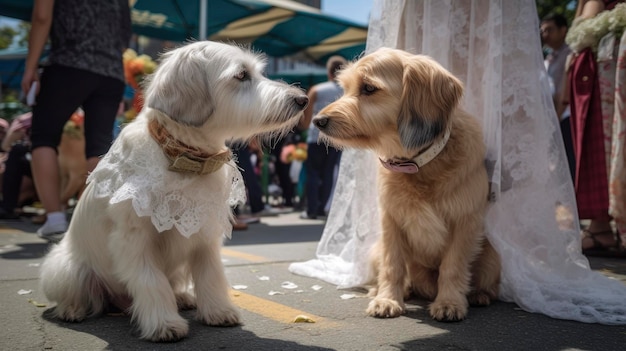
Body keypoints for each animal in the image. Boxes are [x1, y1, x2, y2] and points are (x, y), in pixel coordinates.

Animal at [39, 40, 308, 340]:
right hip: (64, 269)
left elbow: (211, 275)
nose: (302, 99)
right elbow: (151, 281)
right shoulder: (134, 240)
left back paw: (182, 297)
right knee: (78, 294)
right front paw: (164, 324)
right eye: (241, 75)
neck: (184, 159)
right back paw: (71, 310)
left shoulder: (205, 235)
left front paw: (218, 311)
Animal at [314, 48, 500, 324]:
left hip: (491, 258)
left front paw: (449, 302)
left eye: (369, 88)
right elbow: (393, 266)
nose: (317, 120)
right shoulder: (391, 222)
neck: (418, 164)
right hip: (375, 250)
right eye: (346, 87)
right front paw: (388, 299)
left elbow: (453, 267)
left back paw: (479, 294)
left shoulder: (464, 223)